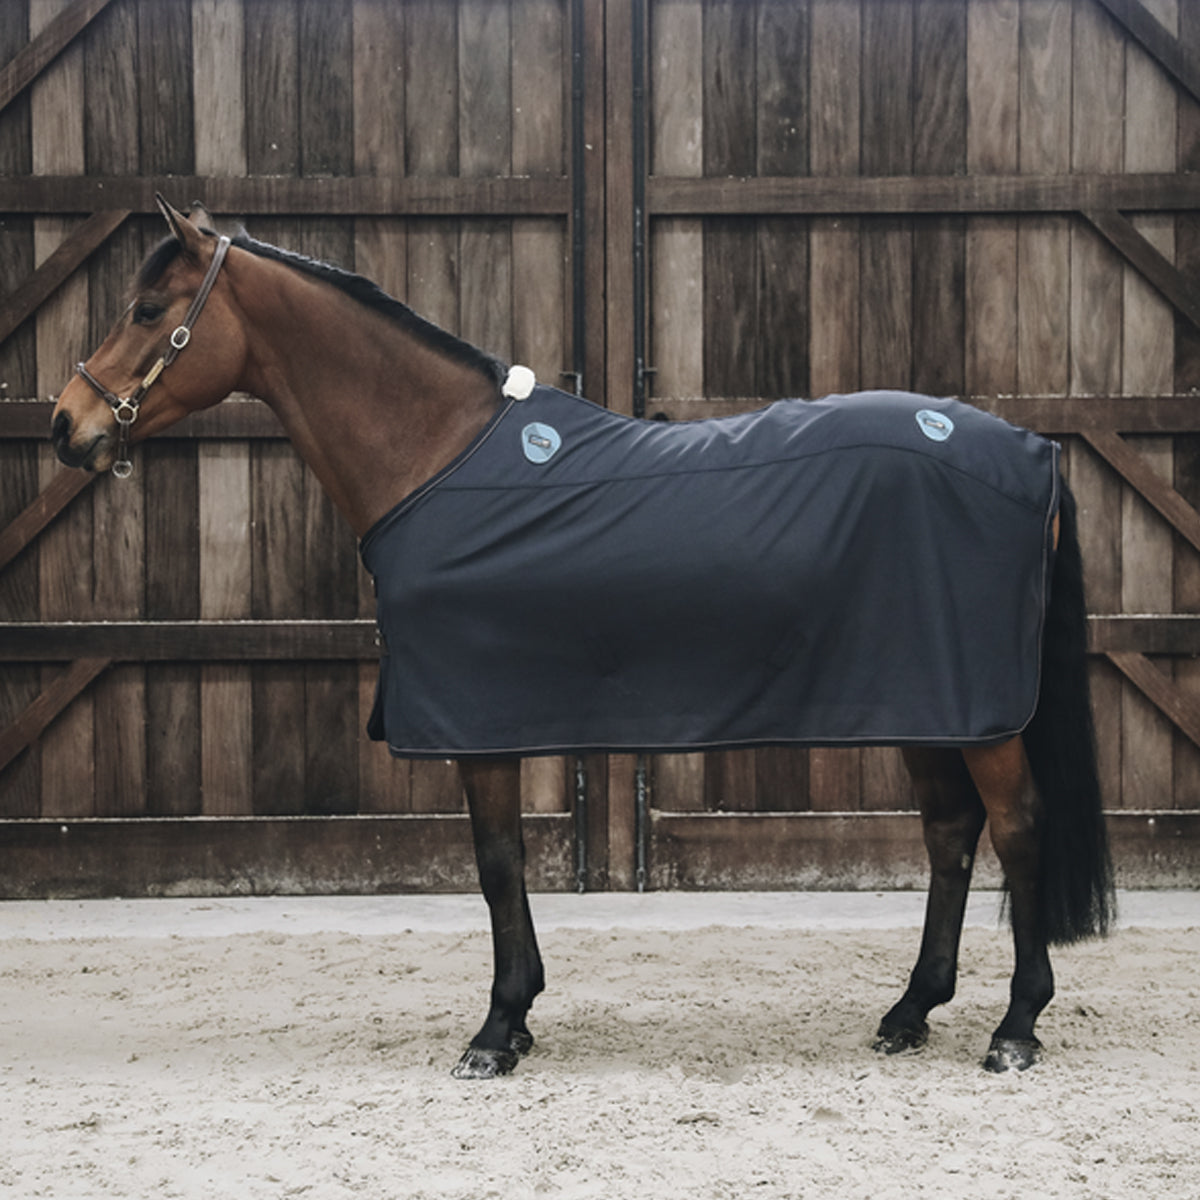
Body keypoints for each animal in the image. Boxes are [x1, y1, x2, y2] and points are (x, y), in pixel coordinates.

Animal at [51, 197, 1115, 1079]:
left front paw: (495, 1032)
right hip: (925, 703)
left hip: (981, 716)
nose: (66, 424)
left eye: (147, 309)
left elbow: (495, 865)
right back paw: (909, 1011)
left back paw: (1015, 1028)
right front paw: (517, 1018)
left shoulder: (478, 720)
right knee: (950, 833)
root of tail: (1032, 451)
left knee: (1017, 829)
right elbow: (510, 862)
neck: (436, 454)